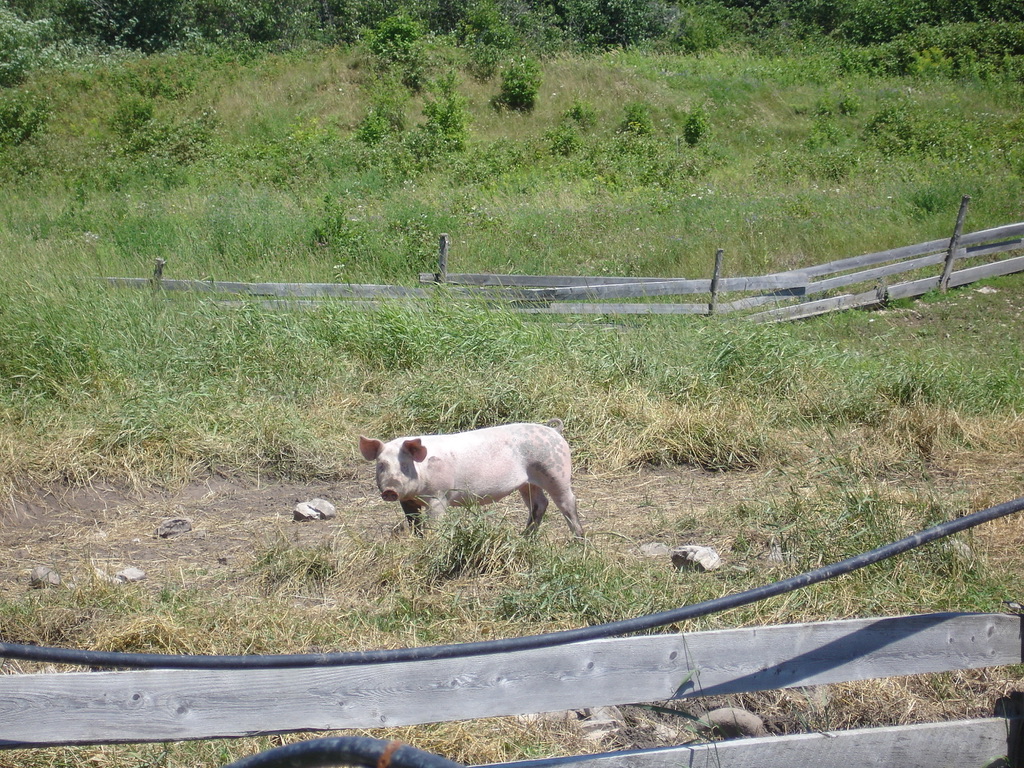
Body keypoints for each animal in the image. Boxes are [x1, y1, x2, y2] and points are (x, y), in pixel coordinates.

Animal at [359, 420, 584, 538]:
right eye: (381, 465)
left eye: (405, 466)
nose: (390, 490)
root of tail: (555, 431)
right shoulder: (407, 501)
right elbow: (414, 524)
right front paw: (418, 540)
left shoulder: (438, 496)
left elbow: (435, 523)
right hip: (527, 482)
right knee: (539, 504)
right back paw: (524, 538)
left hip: (556, 471)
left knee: (567, 502)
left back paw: (578, 541)